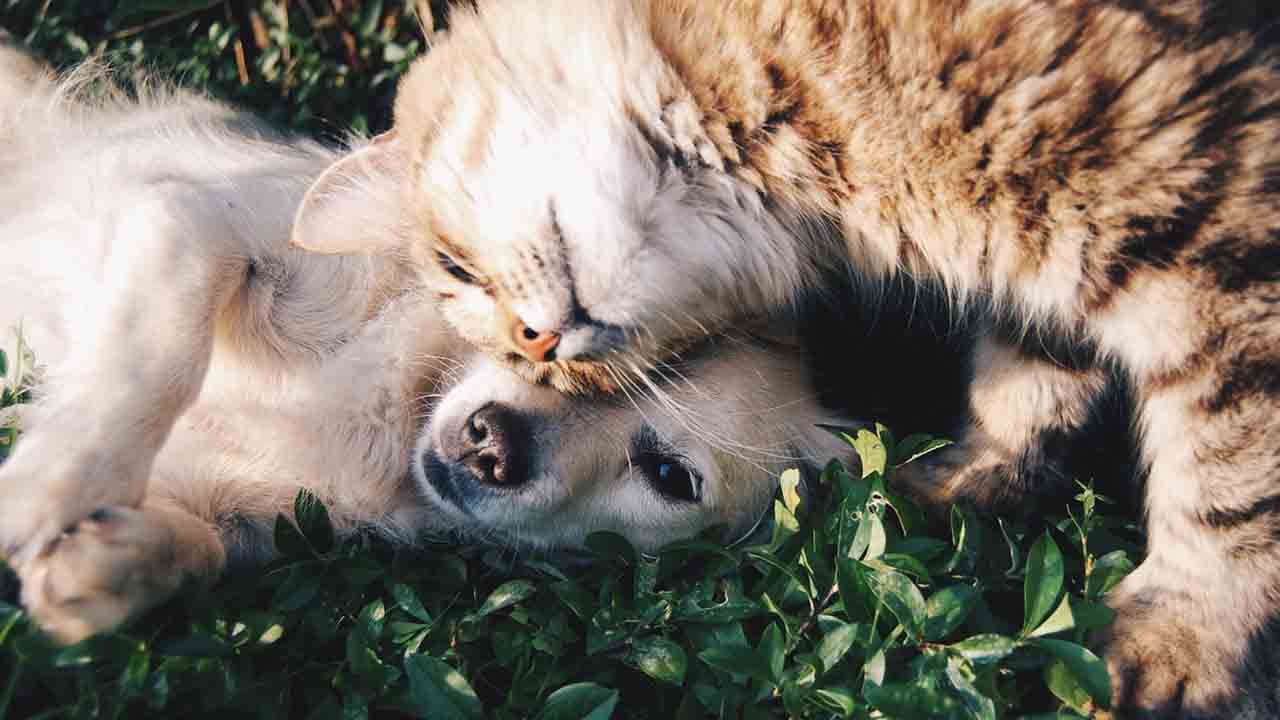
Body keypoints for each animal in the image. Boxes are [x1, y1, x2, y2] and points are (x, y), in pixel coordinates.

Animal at [294, 0, 1280, 712]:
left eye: (457, 269)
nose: (538, 348)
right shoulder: (1045, 272)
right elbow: (1029, 383)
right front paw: (970, 482)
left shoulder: (1217, 235)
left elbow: (1229, 478)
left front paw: (1184, 639)